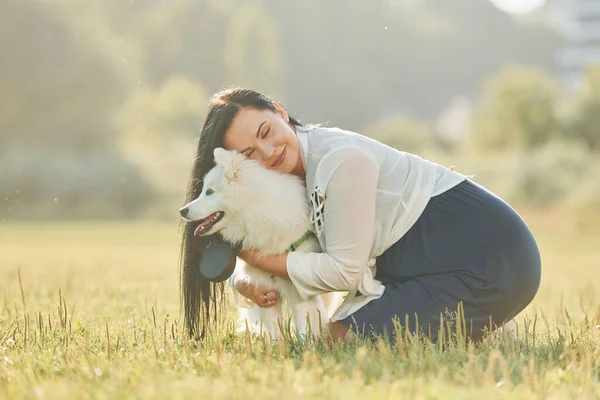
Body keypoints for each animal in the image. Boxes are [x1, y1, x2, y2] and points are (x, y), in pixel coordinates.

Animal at [180, 148, 336, 340]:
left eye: (209, 192)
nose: (182, 211)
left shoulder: (299, 291)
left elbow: (304, 328)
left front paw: (307, 345)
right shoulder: (263, 290)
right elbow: (276, 331)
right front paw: (280, 346)